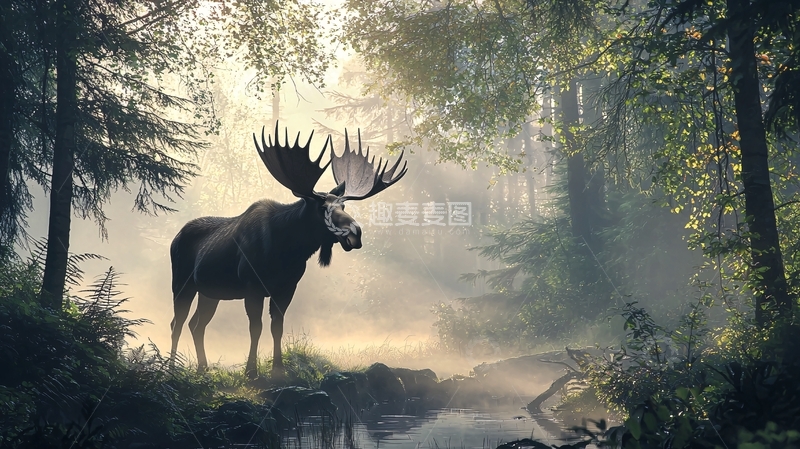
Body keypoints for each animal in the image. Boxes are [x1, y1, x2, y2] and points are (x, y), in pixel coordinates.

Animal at [168, 123, 407, 379]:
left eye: (343, 206)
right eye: (322, 207)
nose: (356, 234)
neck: (287, 252)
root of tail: (175, 237)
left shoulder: (287, 287)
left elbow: (277, 327)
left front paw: (279, 370)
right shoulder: (252, 285)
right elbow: (256, 327)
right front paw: (251, 371)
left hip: (210, 291)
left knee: (197, 324)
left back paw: (202, 368)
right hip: (182, 283)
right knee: (177, 323)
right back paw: (169, 368)